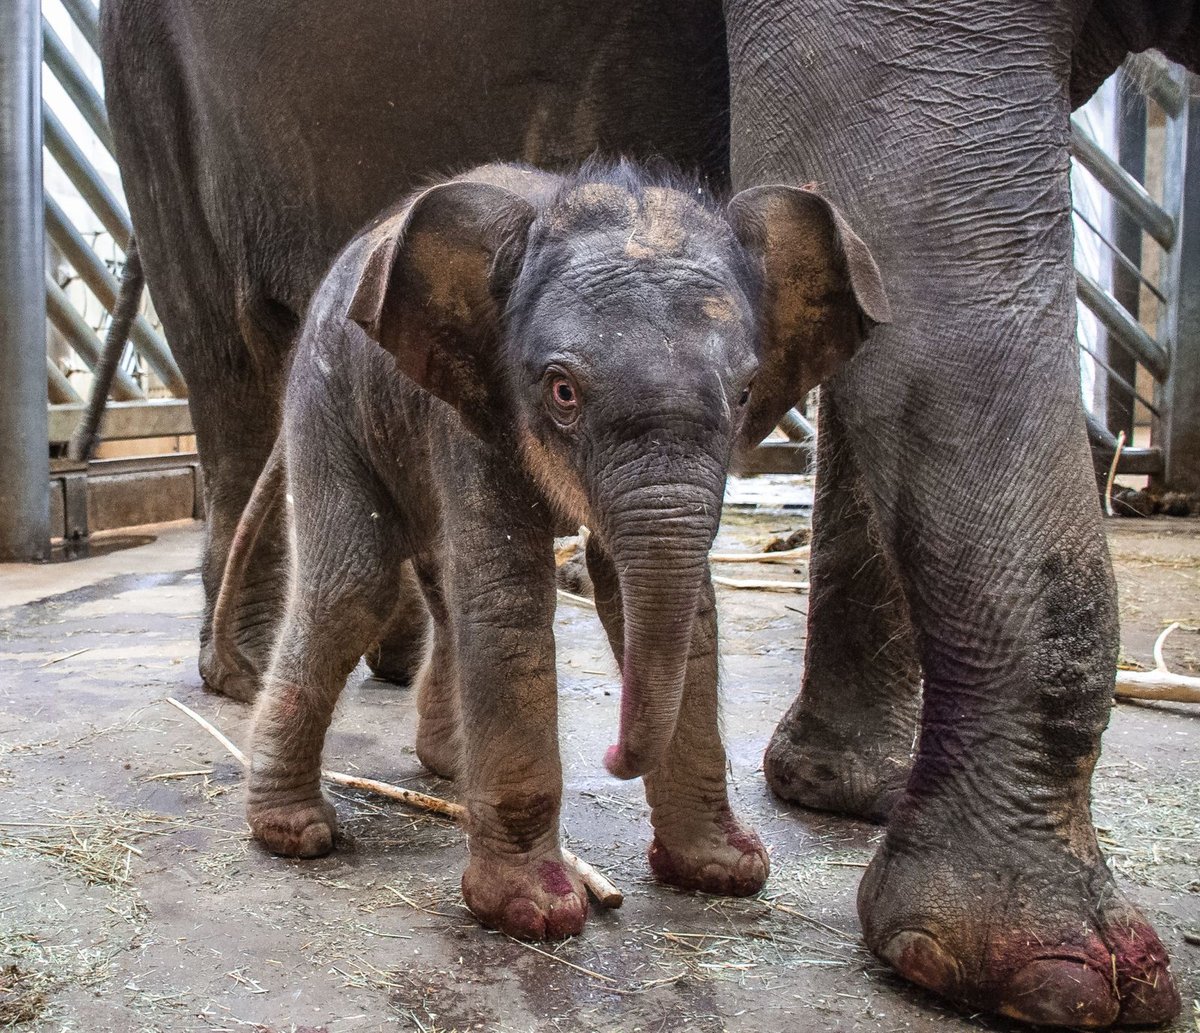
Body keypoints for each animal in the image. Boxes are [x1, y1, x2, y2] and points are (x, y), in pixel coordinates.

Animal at [218, 157, 892, 940]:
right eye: (562, 391)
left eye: (748, 390)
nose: (612, 755)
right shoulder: (470, 406)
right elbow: (510, 598)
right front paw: (533, 912)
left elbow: (666, 604)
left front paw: (724, 873)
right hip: (328, 400)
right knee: (352, 586)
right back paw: (296, 833)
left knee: (436, 585)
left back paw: (448, 766)